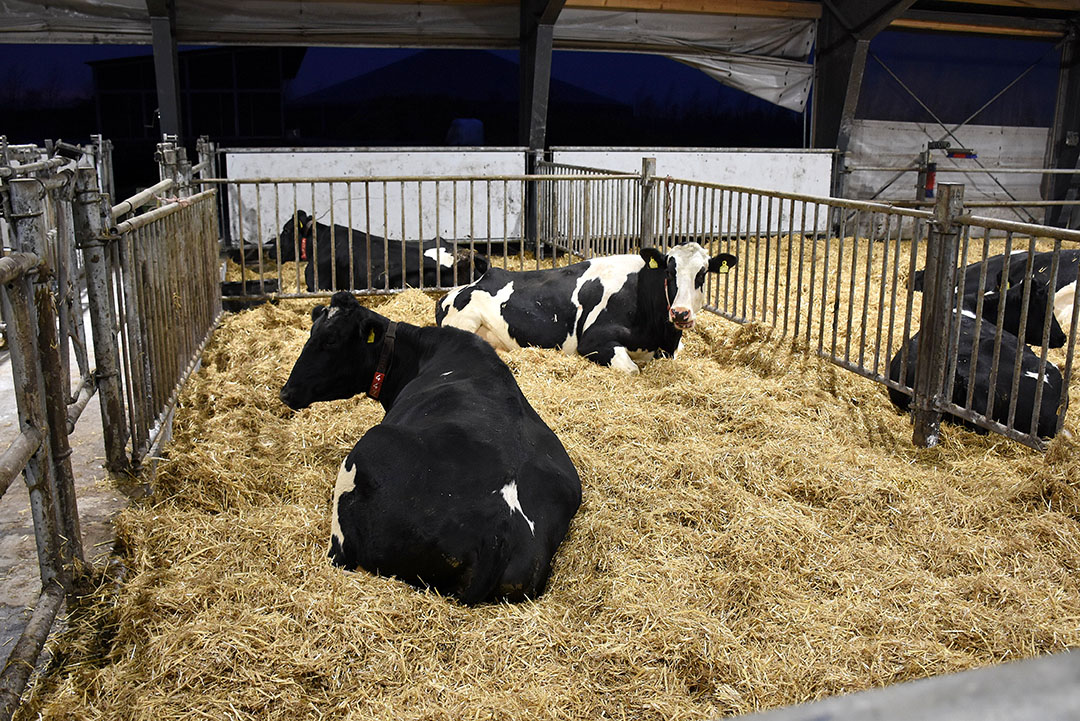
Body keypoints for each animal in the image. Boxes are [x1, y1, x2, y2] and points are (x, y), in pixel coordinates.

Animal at [434, 245, 738, 375]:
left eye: (702, 273)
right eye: (669, 271)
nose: (681, 313)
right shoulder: (593, 341)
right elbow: (632, 370)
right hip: (466, 320)